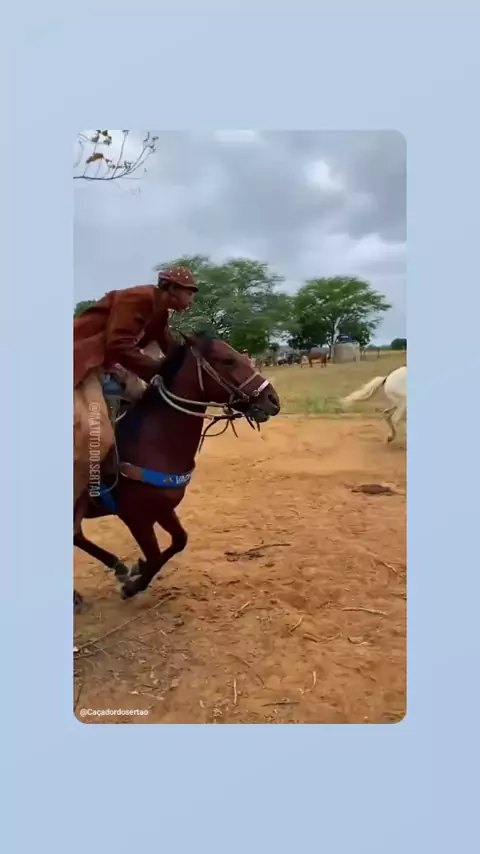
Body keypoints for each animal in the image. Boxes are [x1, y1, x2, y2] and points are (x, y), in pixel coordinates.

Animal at [74, 331, 281, 608]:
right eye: (227, 360)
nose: (272, 400)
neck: (151, 443)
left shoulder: (163, 509)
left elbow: (178, 542)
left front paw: (136, 570)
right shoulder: (136, 517)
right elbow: (153, 555)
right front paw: (132, 586)